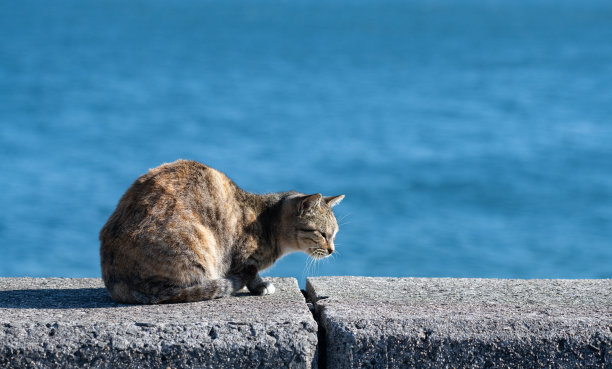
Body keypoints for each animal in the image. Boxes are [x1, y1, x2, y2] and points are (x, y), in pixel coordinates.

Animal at [98, 160, 342, 304]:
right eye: (322, 233)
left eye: (334, 234)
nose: (331, 250)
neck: (268, 222)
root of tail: (117, 282)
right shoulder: (242, 258)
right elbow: (250, 271)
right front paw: (260, 286)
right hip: (196, 241)